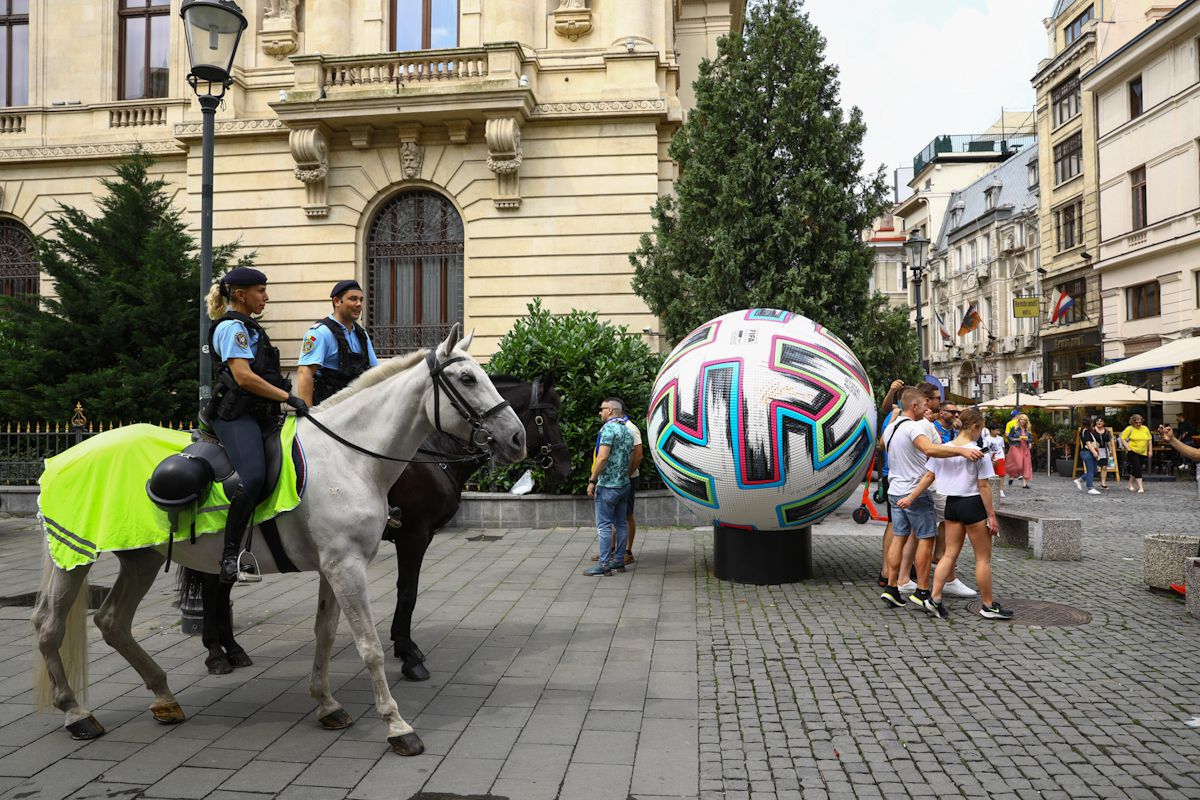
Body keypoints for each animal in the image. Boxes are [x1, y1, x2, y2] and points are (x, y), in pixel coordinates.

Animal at [29, 326, 520, 758]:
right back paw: (76, 714)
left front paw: (327, 704)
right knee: (50, 626)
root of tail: (62, 456)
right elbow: (369, 646)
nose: (517, 438)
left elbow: (326, 633)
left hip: (140, 557)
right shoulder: (348, 566)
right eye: (467, 378)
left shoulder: (334, 566)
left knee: (112, 621)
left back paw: (164, 697)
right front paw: (398, 726)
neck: (349, 457)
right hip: (76, 557)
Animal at [190, 376, 571, 681]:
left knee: (218, 587)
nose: (566, 467)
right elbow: (408, 591)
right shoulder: (414, 535)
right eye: (549, 416)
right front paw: (408, 653)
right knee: (212, 588)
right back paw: (216, 653)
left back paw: (231, 650)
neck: (431, 453)